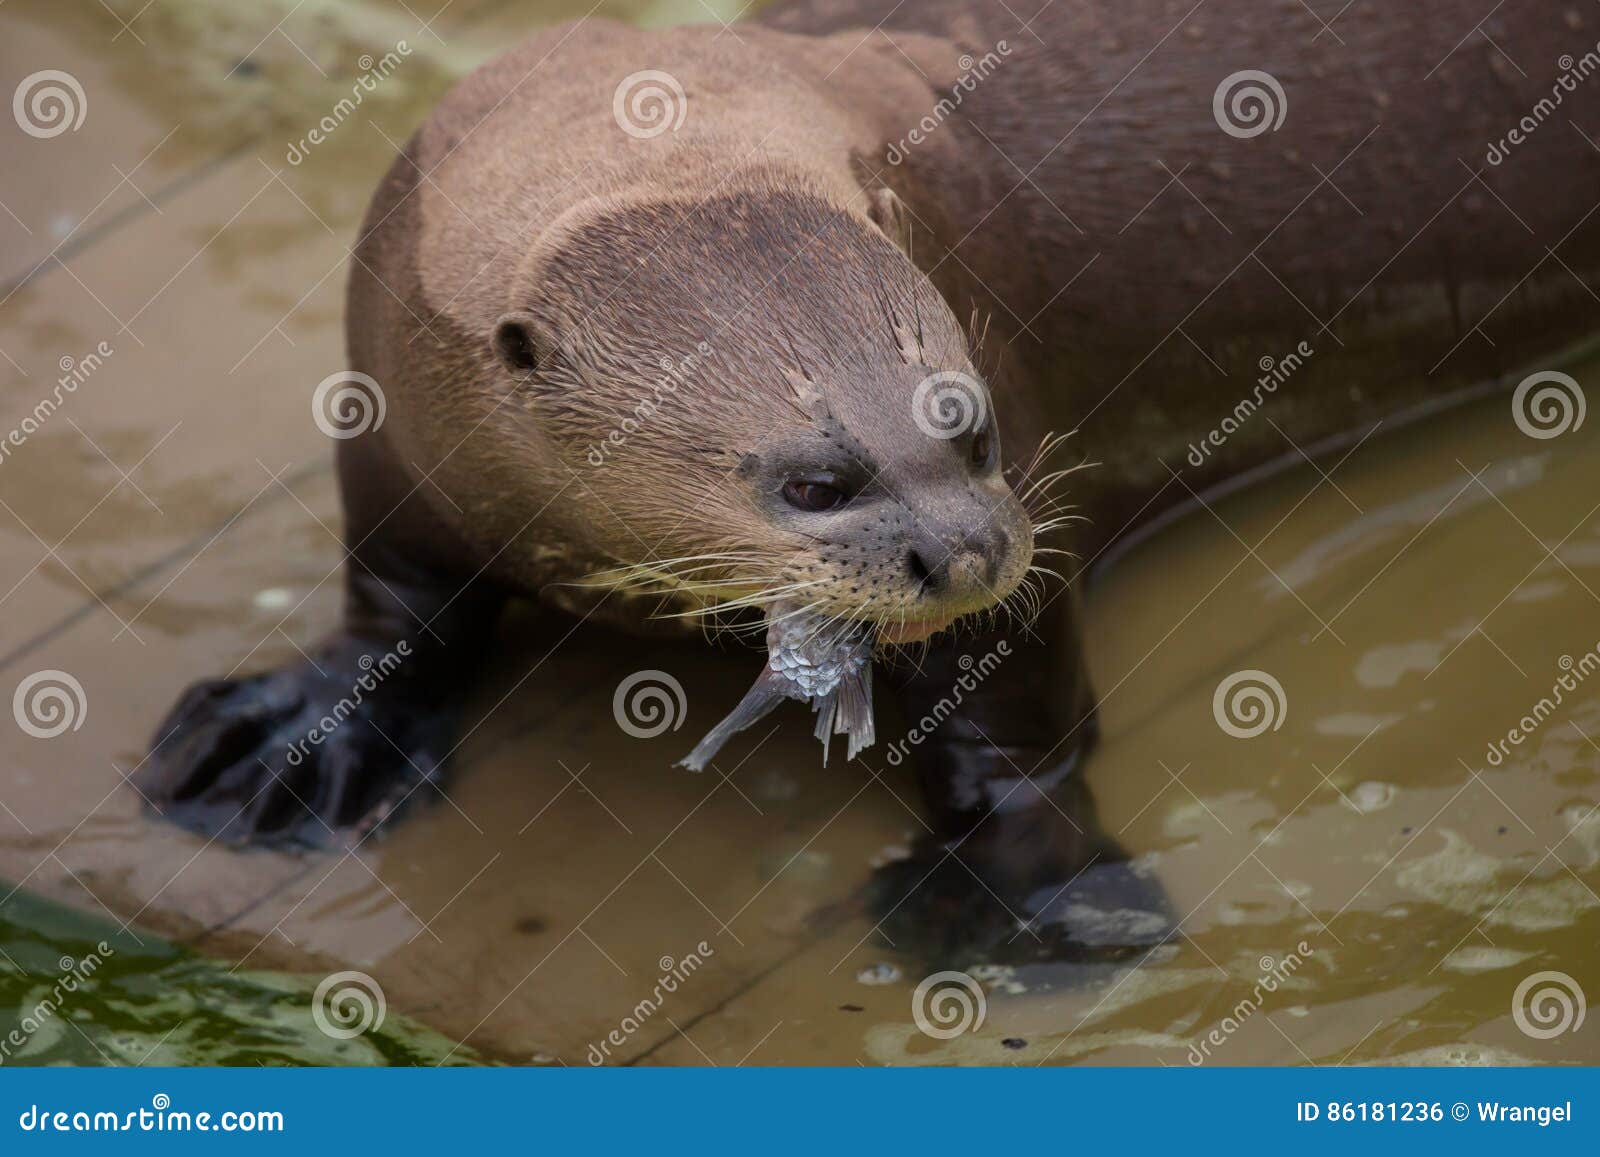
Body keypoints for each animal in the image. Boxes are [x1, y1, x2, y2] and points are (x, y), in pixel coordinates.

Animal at [140, 0, 1600, 960]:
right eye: (815, 483)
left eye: (969, 426)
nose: (963, 549)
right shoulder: (390, 410)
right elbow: (397, 600)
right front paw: (288, 737)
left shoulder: (1020, 394)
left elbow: (1019, 706)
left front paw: (1023, 894)